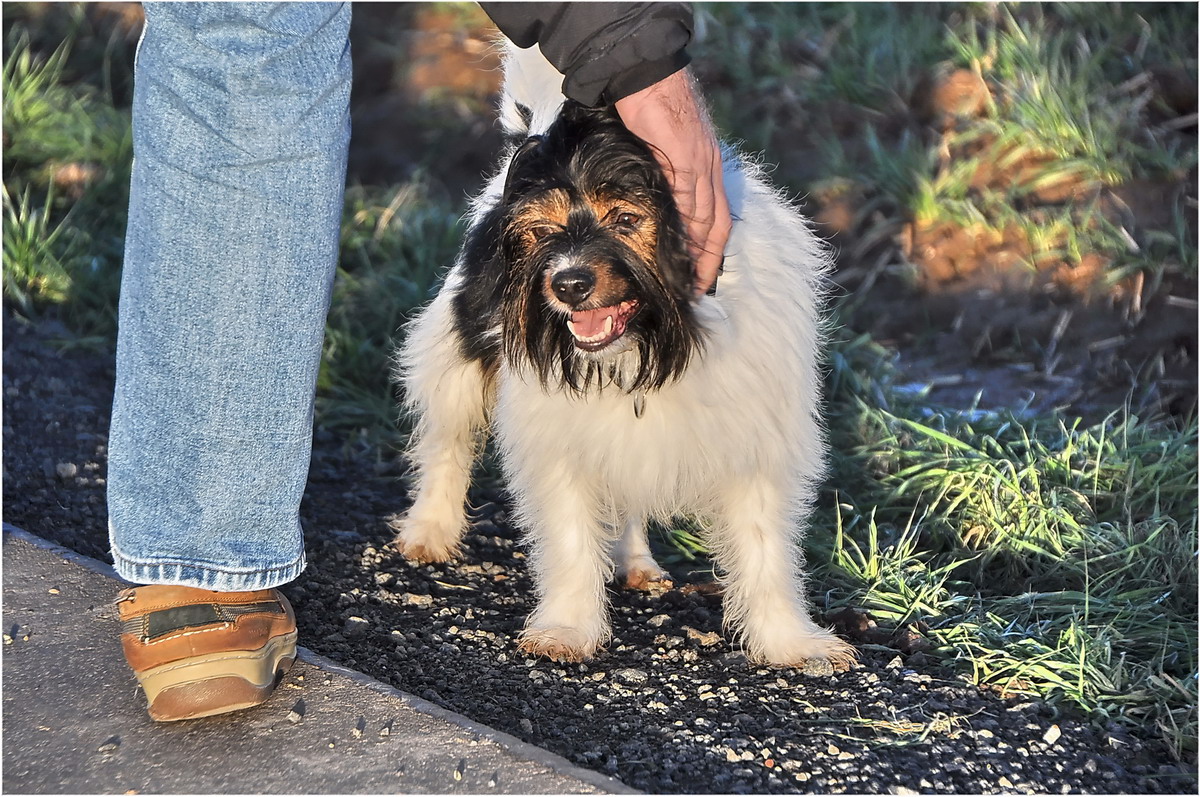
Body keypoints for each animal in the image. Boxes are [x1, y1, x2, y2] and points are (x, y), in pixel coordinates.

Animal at [393, 40, 854, 667]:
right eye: (542, 231)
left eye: (628, 219)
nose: (566, 284)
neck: (651, 339)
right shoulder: (557, 435)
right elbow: (567, 535)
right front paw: (567, 628)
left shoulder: (756, 440)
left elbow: (766, 551)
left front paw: (791, 641)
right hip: (457, 362)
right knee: (448, 443)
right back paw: (431, 530)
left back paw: (632, 560)